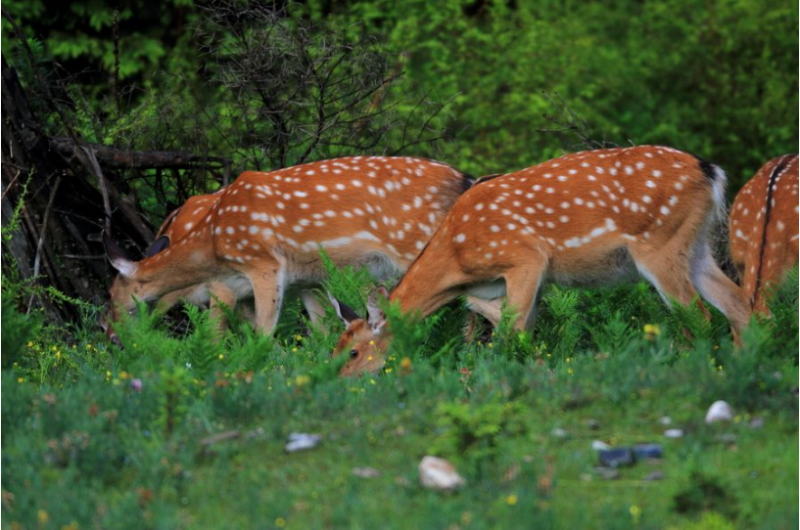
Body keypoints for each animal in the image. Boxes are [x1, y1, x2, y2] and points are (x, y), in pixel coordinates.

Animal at [100, 155, 476, 334]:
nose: (111, 334)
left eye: (116, 296)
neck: (213, 241)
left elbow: (261, 331)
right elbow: (321, 328)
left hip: (416, 242)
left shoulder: (263, 265)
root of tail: (463, 179)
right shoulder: (306, 279)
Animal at [330, 145, 752, 376]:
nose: (339, 379)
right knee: (737, 305)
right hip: (695, 246)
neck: (457, 256)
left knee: (699, 315)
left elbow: (511, 334)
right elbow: (524, 331)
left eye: (353, 352)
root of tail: (710, 171)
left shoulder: (524, 259)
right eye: (334, 348)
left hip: (659, 242)